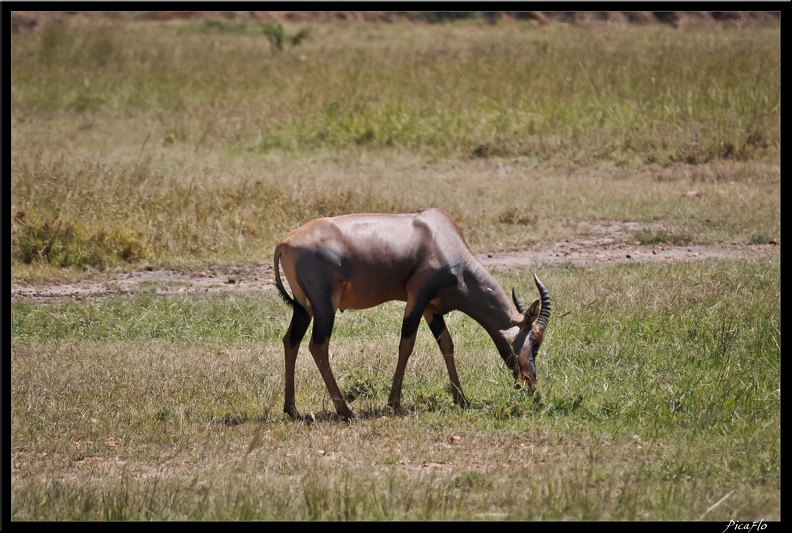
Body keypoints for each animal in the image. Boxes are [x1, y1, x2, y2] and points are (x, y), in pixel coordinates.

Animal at [272, 208, 552, 420]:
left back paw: (291, 409)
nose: (529, 382)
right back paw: (345, 411)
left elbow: (446, 344)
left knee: (291, 341)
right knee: (318, 346)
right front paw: (394, 404)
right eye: (535, 341)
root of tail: (283, 243)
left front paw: (461, 399)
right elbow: (406, 344)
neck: (439, 236)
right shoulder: (417, 298)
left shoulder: (431, 308)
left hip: (304, 308)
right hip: (324, 306)